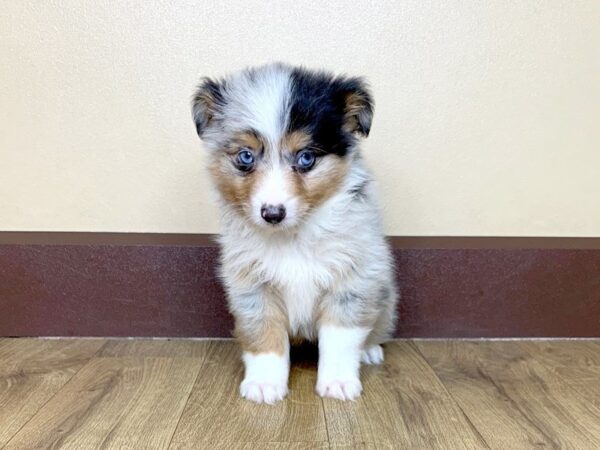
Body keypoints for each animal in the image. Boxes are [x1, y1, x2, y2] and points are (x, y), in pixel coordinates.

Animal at [192, 64, 398, 404]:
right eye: (246, 157)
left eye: (306, 158)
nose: (273, 213)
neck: (292, 236)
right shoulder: (252, 286)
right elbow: (263, 336)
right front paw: (264, 384)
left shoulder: (351, 280)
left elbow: (340, 339)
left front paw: (338, 382)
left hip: (383, 294)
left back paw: (369, 351)